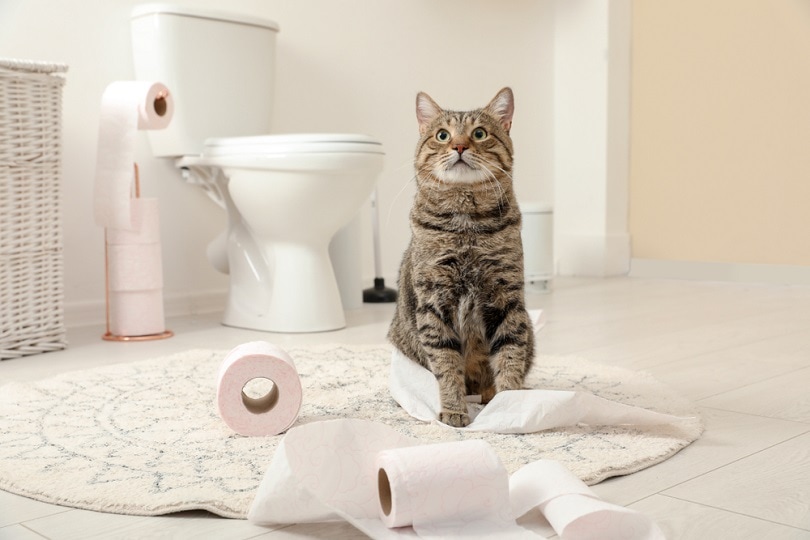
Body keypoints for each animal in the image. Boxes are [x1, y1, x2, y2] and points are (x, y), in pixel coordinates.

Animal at [388, 87, 532, 426]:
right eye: (442, 135)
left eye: (479, 133)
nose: (459, 145)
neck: (466, 225)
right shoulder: (434, 302)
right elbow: (446, 364)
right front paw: (454, 410)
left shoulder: (506, 297)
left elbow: (509, 356)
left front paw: (509, 407)